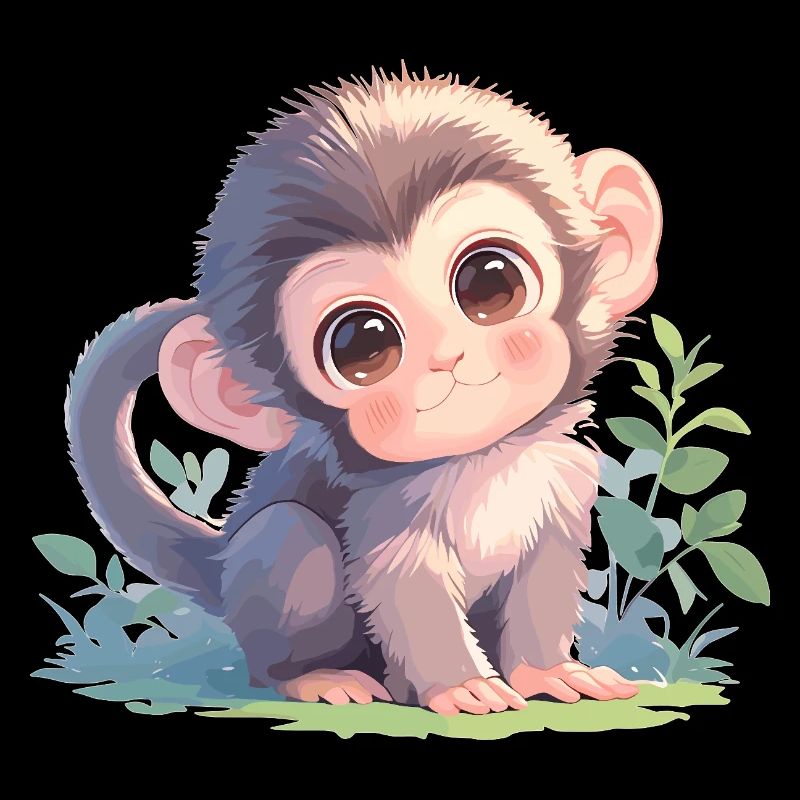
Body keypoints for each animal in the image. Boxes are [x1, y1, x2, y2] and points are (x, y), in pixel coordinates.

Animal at [67, 67, 661, 715]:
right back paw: (310, 676)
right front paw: (461, 685)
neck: (482, 461)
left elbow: (544, 573)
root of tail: (219, 566)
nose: (446, 356)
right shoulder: (383, 509)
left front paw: (549, 672)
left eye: (490, 281)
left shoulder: (559, 476)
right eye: (361, 344)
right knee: (291, 536)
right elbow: (406, 587)